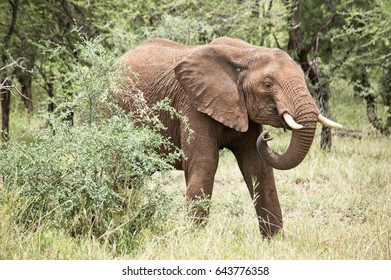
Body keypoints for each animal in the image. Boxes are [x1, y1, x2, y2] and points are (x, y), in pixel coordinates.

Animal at [115, 36, 342, 237]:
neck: (245, 53)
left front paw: (275, 242)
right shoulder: (191, 103)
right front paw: (193, 241)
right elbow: (205, 163)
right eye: (267, 84)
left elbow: (257, 167)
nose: (267, 136)